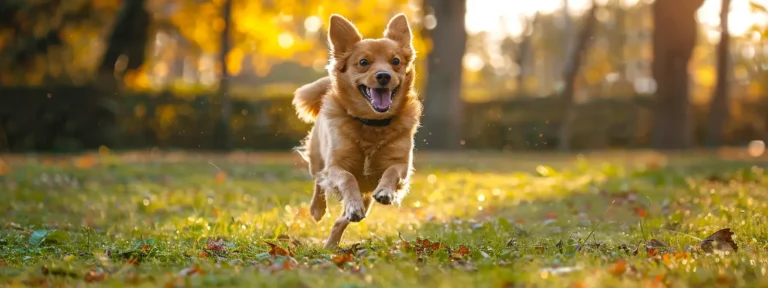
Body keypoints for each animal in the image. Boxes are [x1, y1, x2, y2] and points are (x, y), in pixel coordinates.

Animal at [292, 12, 424, 248]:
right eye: (363, 62)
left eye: (395, 61)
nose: (383, 75)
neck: (371, 122)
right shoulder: (336, 166)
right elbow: (347, 178)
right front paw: (346, 204)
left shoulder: (402, 165)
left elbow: (391, 171)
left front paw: (385, 192)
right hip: (317, 159)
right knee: (319, 181)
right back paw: (318, 209)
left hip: (366, 198)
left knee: (341, 220)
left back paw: (332, 244)